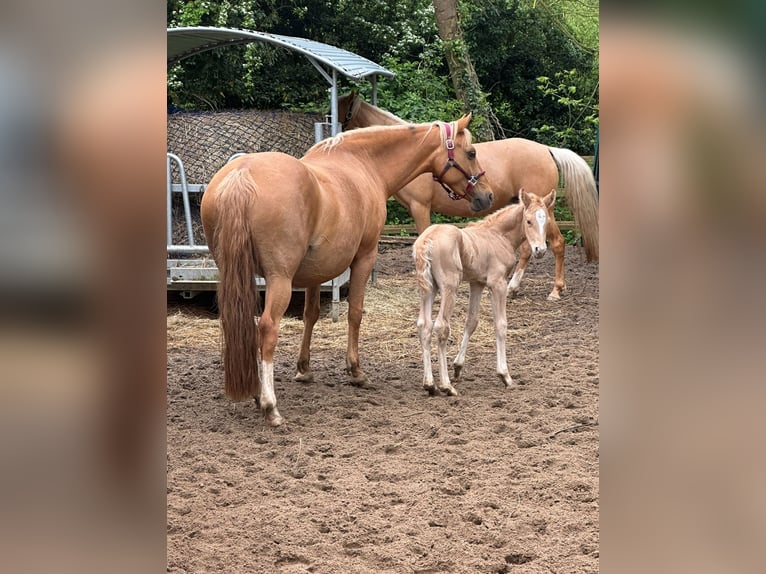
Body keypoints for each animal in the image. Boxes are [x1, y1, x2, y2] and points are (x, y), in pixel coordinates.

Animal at [201, 116, 496, 428]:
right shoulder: (364, 257)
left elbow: (311, 315)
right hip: (278, 279)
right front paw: (356, 371)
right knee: (267, 328)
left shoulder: (314, 272)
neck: (364, 164)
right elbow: (355, 312)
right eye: (471, 152)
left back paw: (258, 394)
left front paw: (304, 369)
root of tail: (241, 173)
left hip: (237, 276)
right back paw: (269, 405)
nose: (487, 195)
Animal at [416, 189, 556, 396]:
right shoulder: (498, 284)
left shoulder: (477, 283)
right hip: (449, 287)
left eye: (546, 221)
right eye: (529, 221)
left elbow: (471, 321)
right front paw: (505, 375)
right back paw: (446, 386)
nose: (540, 250)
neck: (498, 236)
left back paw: (430, 384)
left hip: (429, 288)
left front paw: (458, 366)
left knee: (424, 325)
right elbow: (501, 325)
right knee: (441, 326)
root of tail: (428, 240)